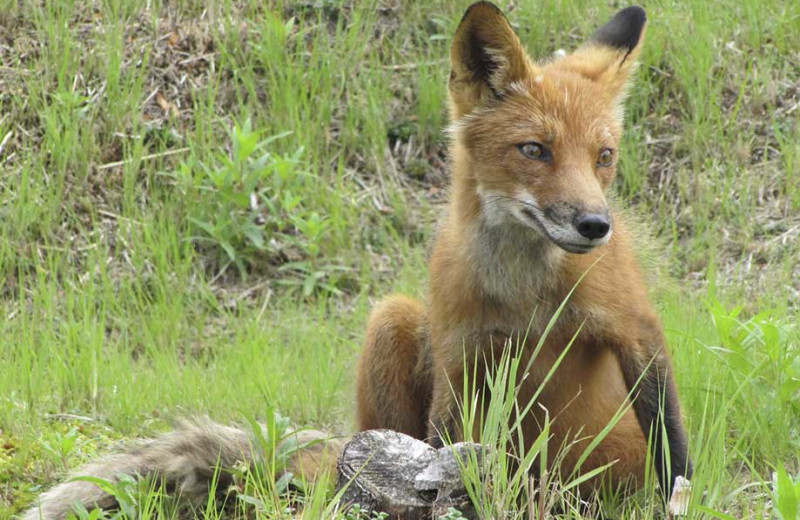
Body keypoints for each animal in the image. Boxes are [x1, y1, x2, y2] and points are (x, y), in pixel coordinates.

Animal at [25, 2, 688, 516]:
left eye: (604, 156)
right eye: (535, 150)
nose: (596, 225)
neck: (527, 296)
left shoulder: (635, 327)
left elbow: (676, 450)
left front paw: (678, 504)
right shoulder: (460, 357)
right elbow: (441, 454)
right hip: (393, 321)